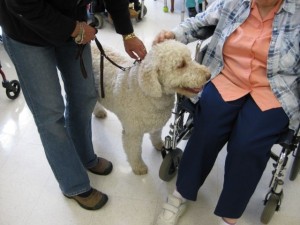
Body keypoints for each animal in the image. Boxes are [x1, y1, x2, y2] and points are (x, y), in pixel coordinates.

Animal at [92, 39, 210, 175]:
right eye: (181, 65)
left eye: (190, 58)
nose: (208, 75)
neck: (147, 91)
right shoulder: (132, 133)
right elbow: (134, 151)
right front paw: (139, 167)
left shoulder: (157, 123)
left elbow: (156, 136)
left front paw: (160, 145)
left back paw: (99, 112)